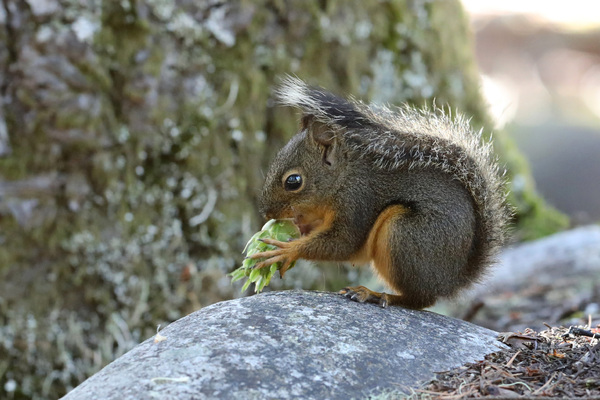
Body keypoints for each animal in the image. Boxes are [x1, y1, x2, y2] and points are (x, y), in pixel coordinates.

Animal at [248, 77, 506, 310]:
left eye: (293, 181)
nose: (266, 213)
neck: (342, 180)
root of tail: (451, 281)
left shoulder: (357, 202)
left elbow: (344, 244)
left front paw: (286, 250)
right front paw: (299, 228)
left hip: (404, 236)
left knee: (420, 300)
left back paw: (376, 295)